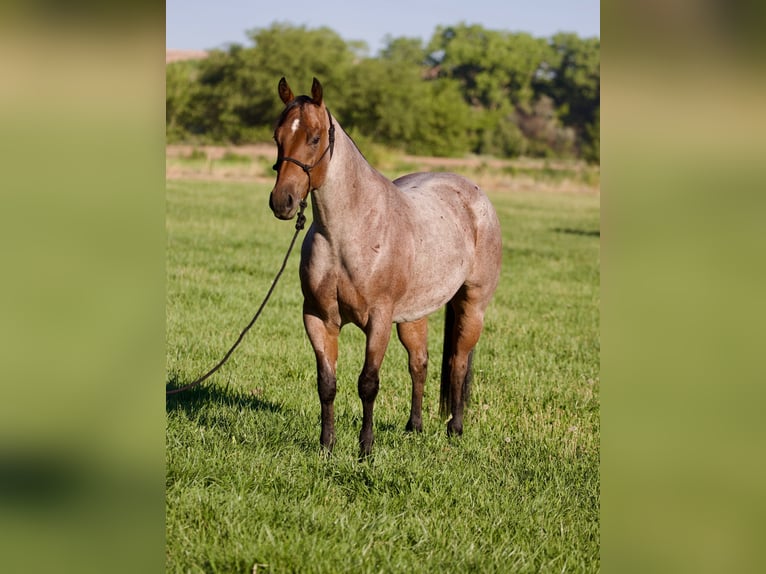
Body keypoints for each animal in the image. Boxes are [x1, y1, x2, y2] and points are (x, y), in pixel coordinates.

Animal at [269, 77, 502, 457]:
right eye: (277, 136)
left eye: (314, 137)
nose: (282, 202)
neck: (346, 234)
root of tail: (474, 193)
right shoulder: (318, 318)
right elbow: (326, 384)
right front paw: (326, 446)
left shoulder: (377, 321)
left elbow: (368, 383)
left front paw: (365, 449)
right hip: (413, 316)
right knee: (419, 363)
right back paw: (414, 426)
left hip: (472, 306)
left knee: (458, 364)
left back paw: (455, 429)